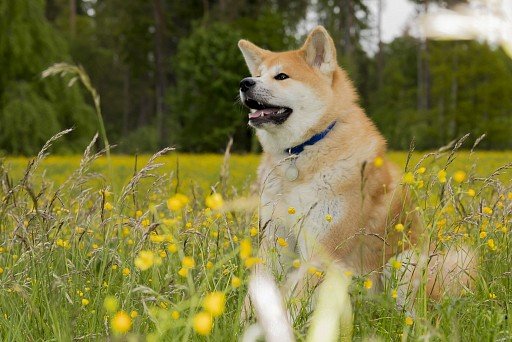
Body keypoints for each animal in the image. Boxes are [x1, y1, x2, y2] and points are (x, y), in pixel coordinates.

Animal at [238, 24, 474, 308]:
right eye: (258, 75)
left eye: (282, 76)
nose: (244, 83)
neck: (301, 154)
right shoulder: (274, 239)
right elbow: (256, 296)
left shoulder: (322, 250)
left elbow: (296, 300)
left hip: (403, 263)